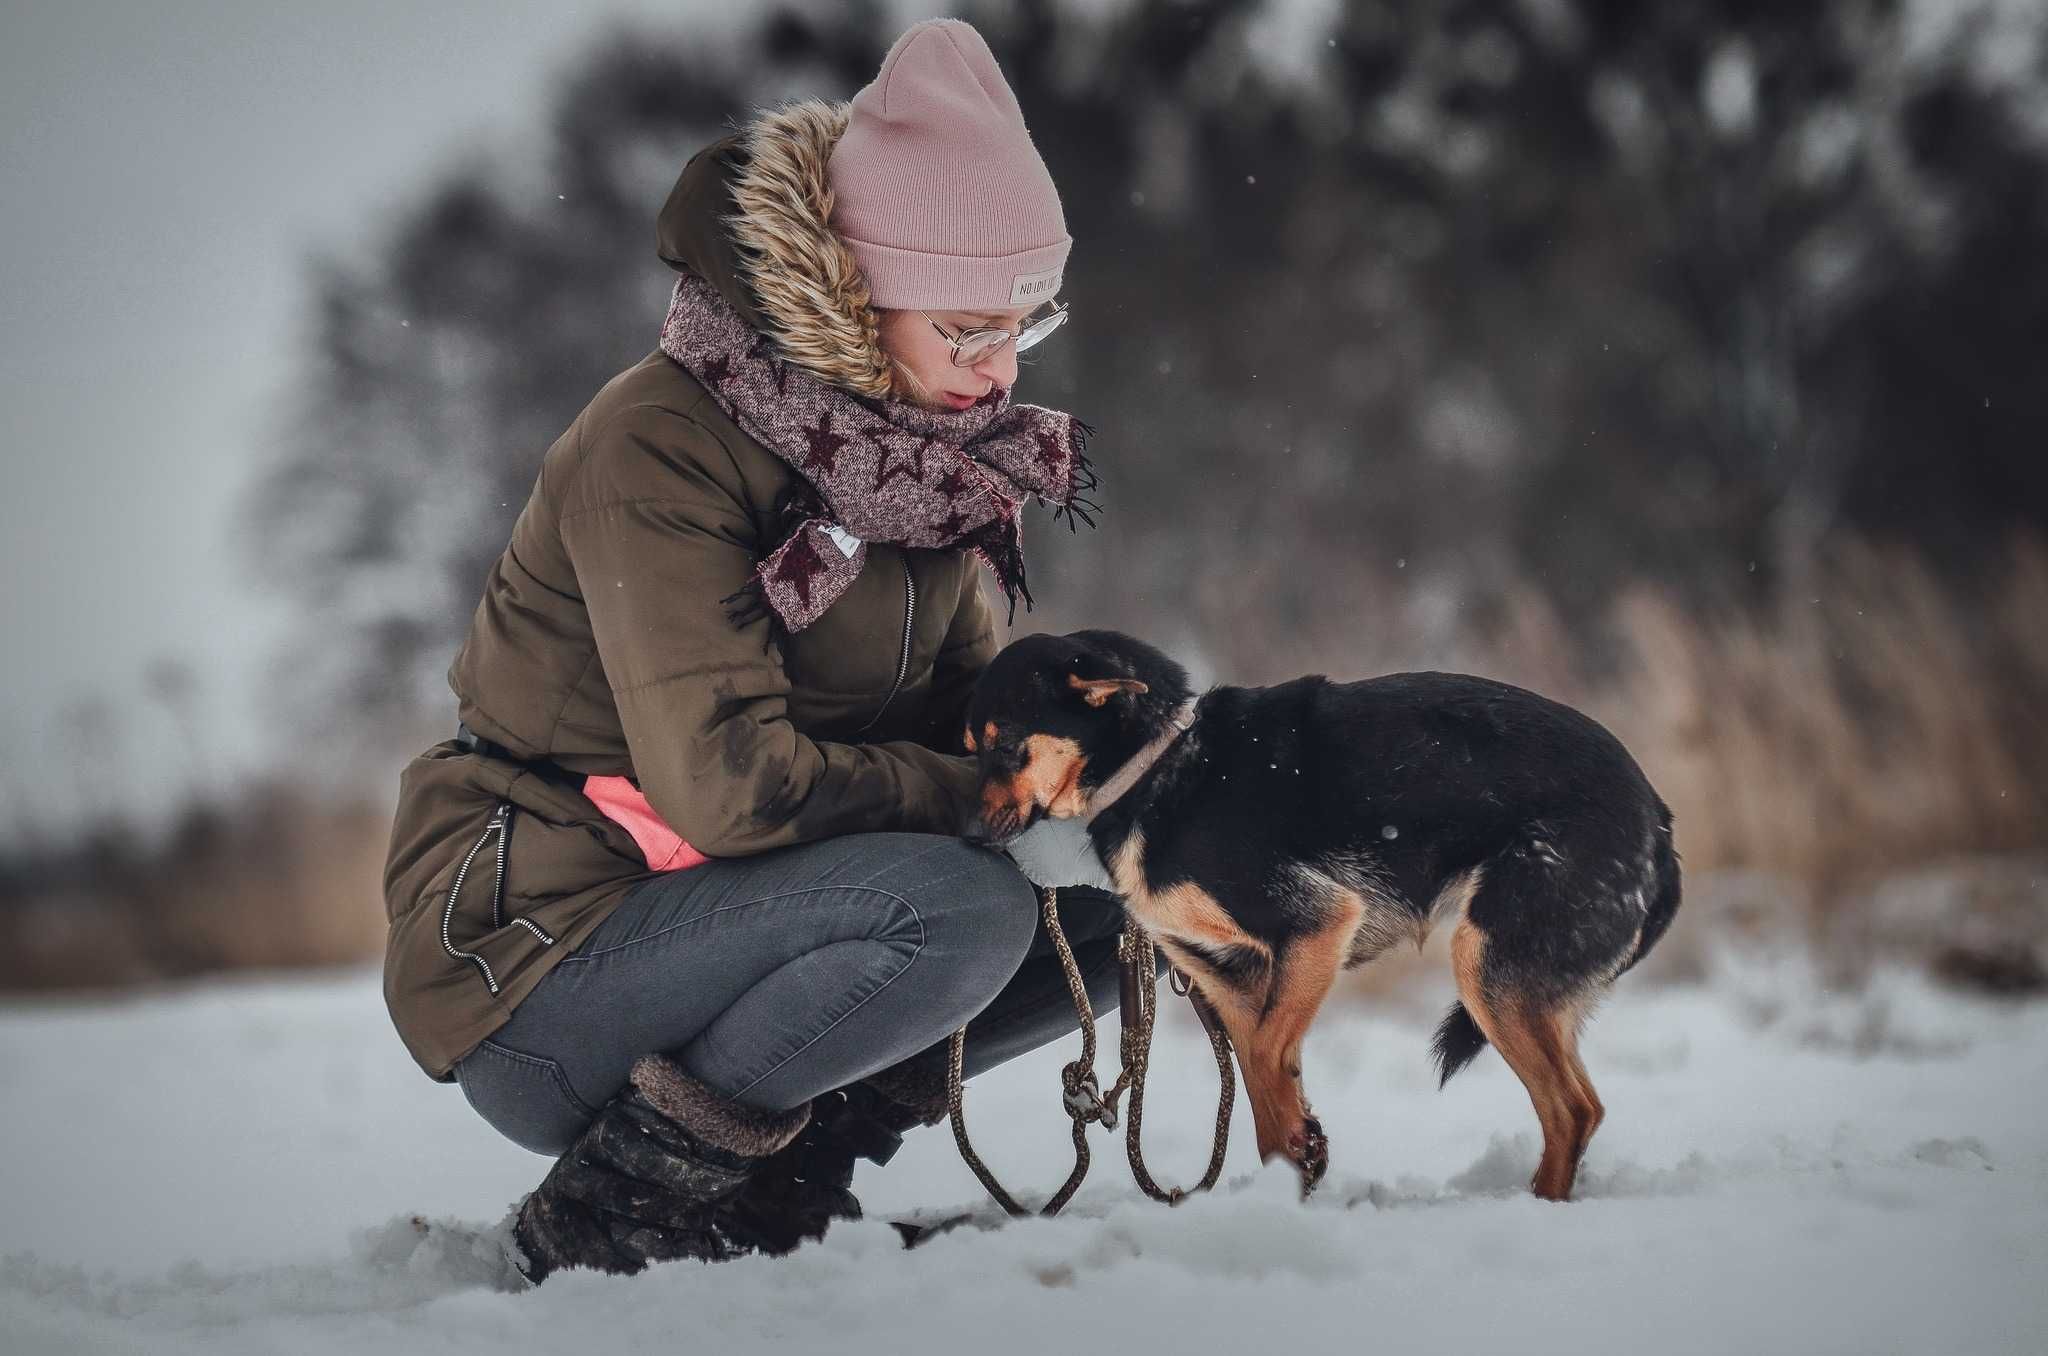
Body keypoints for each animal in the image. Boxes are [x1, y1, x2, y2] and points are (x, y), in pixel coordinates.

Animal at [958, 630, 1679, 1204]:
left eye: (1007, 747)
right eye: (968, 748)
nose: (966, 836)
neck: (1157, 764)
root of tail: (1659, 822)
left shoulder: (1317, 923)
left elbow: (1270, 1062)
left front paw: (1296, 1170)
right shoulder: (1231, 982)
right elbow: (1264, 1095)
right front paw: (1292, 1178)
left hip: (1489, 965)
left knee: (1570, 1110)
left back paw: (1538, 1206)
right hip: (1527, 986)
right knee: (1582, 1106)